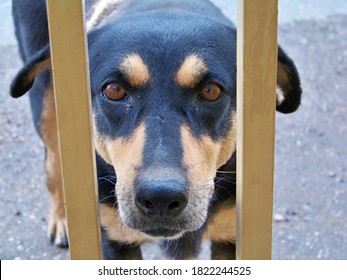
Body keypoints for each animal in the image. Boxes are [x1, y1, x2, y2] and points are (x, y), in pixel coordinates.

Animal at [9, 0, 300, 260]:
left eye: (210, 90)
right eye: (114, 90)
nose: (161, 197)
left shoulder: (230, 236)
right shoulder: (114, 239)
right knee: (53, 162)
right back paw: (61, 219)